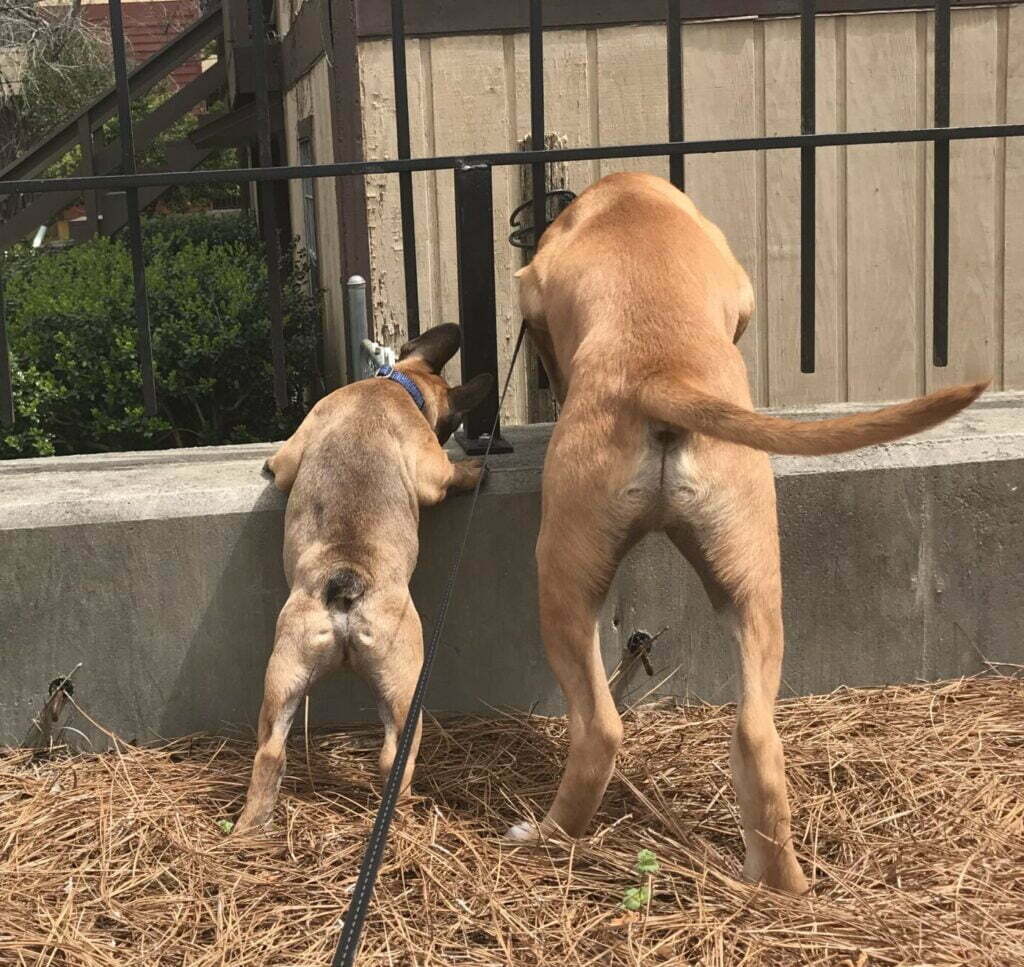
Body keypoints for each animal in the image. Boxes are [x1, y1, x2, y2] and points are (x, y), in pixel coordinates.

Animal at [239, 323, 495, 831]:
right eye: (447, 427)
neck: (395, 385)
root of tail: (346, 582)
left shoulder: (292, 453)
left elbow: (281, 467)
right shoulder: (432, 471)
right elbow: (447, 477)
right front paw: (473, 469)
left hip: (285, 669)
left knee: (270, 751)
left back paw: (251, 824)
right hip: (407, 685)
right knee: (394, 756)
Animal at [516, 172, 987, 893]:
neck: (630, 199)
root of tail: (660, 373)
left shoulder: (532, 286)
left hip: (561, 580)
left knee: (598, 727)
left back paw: (546, 835)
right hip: (752, 581)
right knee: (759, 742)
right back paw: (786, 886)